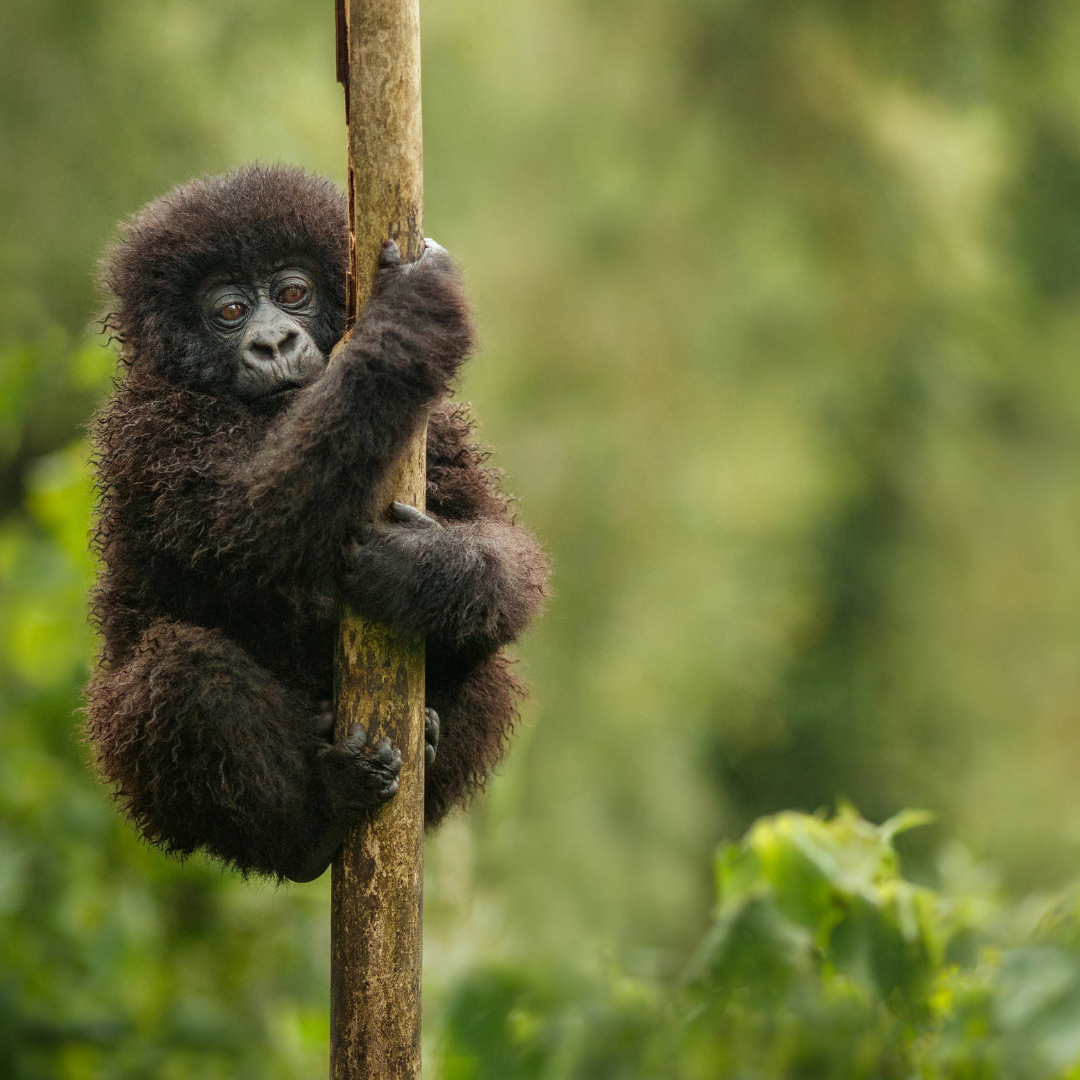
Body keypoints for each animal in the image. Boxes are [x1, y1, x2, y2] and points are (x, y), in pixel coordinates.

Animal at [84, 164, 547, 882]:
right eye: (229, 311)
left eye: (293, 293)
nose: (274, 341)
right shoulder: (151, 431)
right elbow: (251, 522)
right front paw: (409, 317)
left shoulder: (437, 428)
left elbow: (504, 549)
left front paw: (420, 572)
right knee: (182, 674)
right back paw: (313, 823)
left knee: (490, 660)